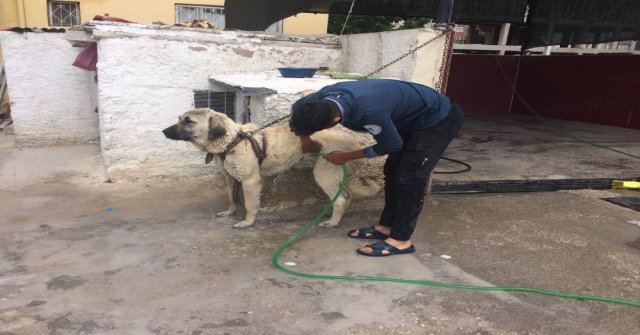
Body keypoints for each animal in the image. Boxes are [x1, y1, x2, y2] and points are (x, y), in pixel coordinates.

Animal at [162, 109, 380, 230]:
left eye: (189, 121)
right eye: (179, 119)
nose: (163, 131)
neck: (232, 140)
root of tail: (354, 141)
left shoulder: (250, 181)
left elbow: (250, 205)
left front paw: (248, 222)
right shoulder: (230, 177)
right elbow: (232, 198)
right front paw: (230, 212)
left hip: (324, 174)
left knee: (341, 199)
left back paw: (333, 222)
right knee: (346, 196)